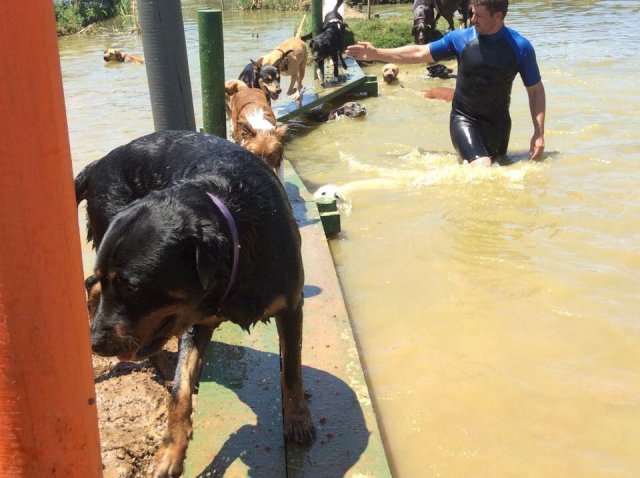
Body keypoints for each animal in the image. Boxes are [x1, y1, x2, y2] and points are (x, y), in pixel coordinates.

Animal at [76, 131, 316, 478]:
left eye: (134, 287)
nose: (94, 344)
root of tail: (97, 165)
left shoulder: (291, 305)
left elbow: (293, 370)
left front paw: (298, 418)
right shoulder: (192, 318)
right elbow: (180, 392)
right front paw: (169, 454)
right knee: (92, 287)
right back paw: (162, 365)